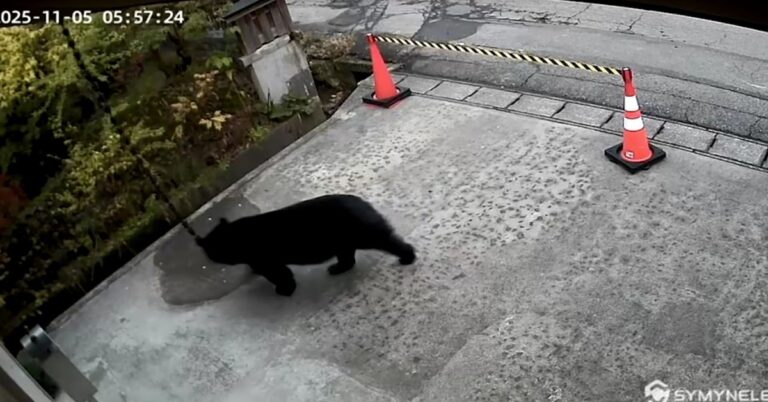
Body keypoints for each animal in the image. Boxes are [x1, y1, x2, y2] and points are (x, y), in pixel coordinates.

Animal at [195, 194, 416, 296]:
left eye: (212, 252)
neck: (236, 238)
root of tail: (364, 204)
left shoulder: (264, 258)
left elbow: (279, 273)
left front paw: (284, 289)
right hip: (341, 238)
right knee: (347, 256)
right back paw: (336, 268)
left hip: (361, 231)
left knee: (386, 240)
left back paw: (407, 256)